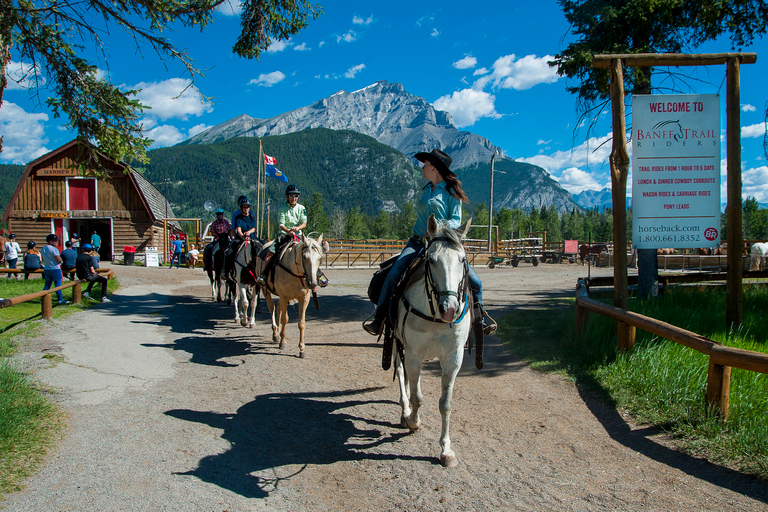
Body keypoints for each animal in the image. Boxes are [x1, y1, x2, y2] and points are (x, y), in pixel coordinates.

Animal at [392, 214, 472, 466]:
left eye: (463, 259)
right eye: (431, 260)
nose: (450, 309)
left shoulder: (453, 358)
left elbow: (445, 404)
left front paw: (446, 450)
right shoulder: (413, 354)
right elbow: (417, 397)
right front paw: (413, 421)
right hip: (397, 343)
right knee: (400, 372)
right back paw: (405, 411)